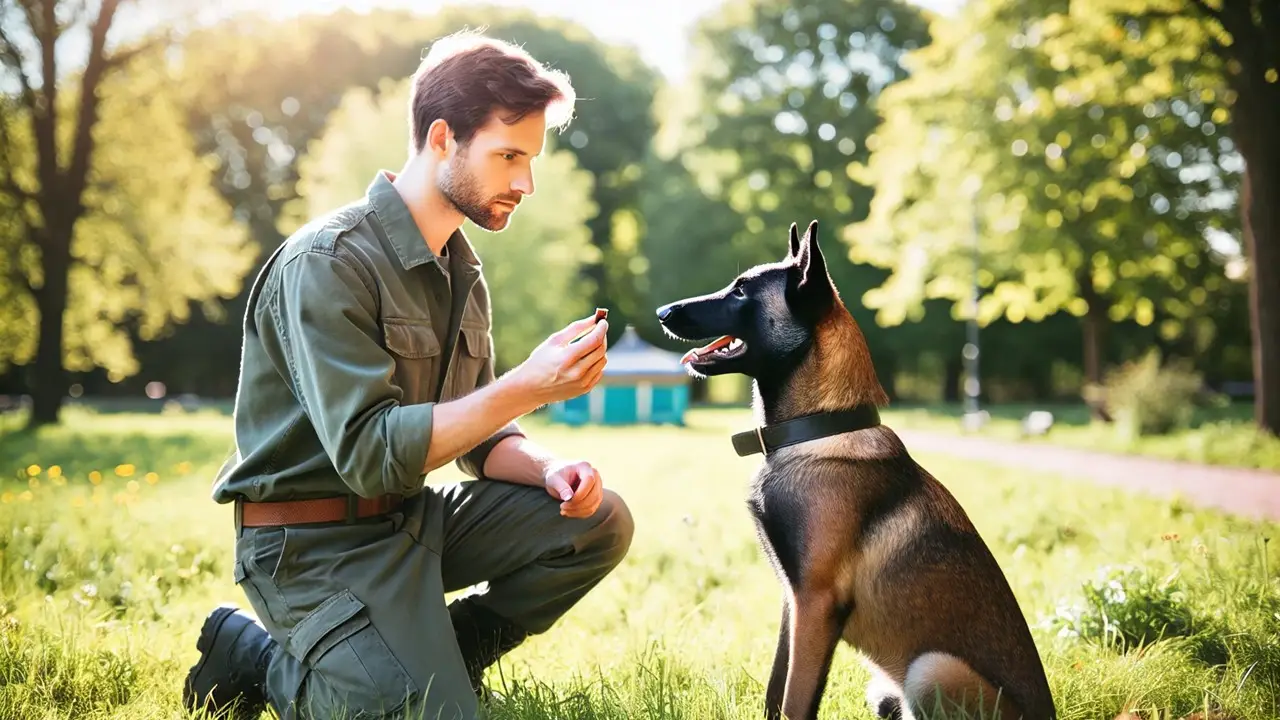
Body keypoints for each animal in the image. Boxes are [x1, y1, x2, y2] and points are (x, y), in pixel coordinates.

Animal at [655, 220, 1054, 717]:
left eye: (741, 291)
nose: (662, 311)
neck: (820, 430)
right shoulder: (792, 600)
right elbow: (775, 688)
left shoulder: (816, 602)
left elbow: (795, 698)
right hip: (886, 688)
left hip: (931, 668)